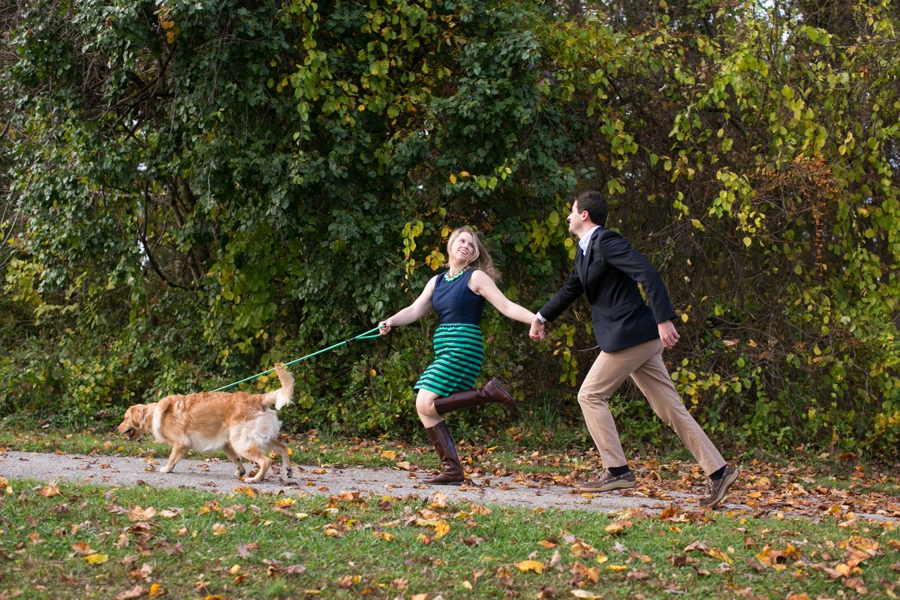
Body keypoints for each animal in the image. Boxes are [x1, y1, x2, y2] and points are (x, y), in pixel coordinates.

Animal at [118, 360, 296, 482]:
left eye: (125, 418)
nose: (117, 429)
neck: (153, 413)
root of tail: (257, 398)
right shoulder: (226, 445)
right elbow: (235, 459)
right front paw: (240, 471)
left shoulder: (181, 443)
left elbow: (171, 458)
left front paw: (166, 469)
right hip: (256, 439)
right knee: (282, 446)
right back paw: (287, 469)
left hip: (243, 443)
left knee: (266, 461)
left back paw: (255, 479)